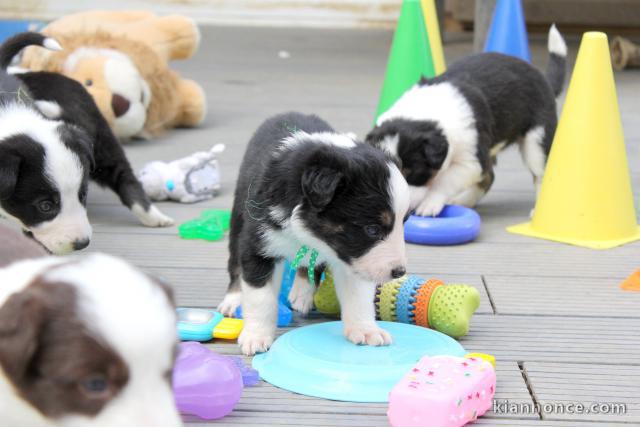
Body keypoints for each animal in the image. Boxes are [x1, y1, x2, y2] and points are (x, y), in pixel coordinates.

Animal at [0, 33, 172, 256]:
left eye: (83, 195)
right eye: (45, 206)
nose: (82, 244)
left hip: (103, 145)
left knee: (125, 178)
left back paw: (155, 218)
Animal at [219, 112, 410, 356]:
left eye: (404, 222)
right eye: (372, 229)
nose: (399, 272)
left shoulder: (353, 260)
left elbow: (358, 296)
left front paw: (366, 331)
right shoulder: (258, 245)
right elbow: (260, 298)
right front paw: (256, 337)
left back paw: (302, 292)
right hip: (239, 217)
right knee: (235, 263)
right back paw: (233, 299)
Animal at [368, 25, 568, 217]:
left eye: (413, 172)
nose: (402, 207)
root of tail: (544, 80)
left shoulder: (472, 161)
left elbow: (445, 180)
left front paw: (429, 205)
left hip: (537, 140)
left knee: (540, 173)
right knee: (489, 177)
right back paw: (464, 201)